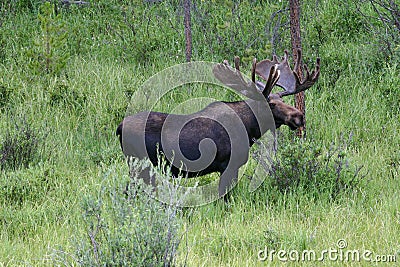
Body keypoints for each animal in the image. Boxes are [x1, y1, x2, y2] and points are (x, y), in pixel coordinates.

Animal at [115, 49, 318, 198]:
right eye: (272, 104)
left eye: (283, 99)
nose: (299, 116)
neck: (249, 129)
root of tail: (119, 128)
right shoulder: (228, 166)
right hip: (138, 164)